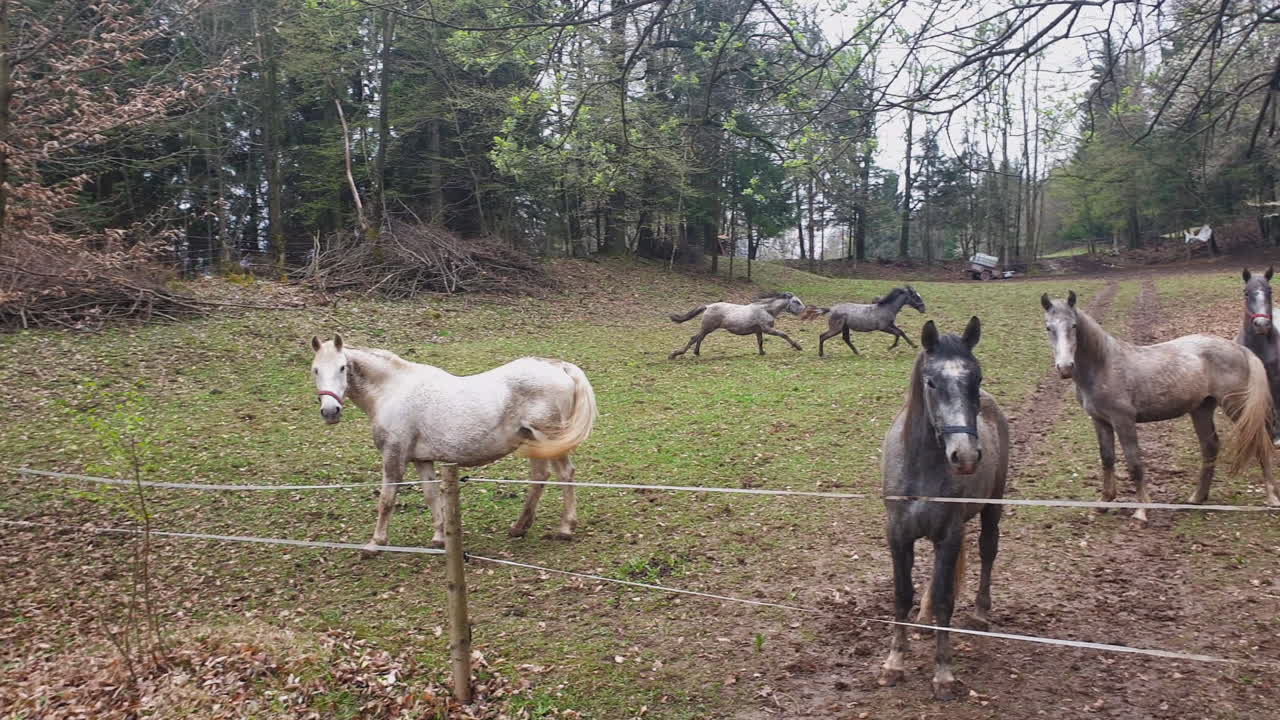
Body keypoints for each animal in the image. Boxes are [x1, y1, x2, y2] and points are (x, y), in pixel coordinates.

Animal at [309, 334, 598, 549]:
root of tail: (559, 367)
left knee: (565, 475)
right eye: (315, 370)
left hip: (550, 441)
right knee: (539, 478)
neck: (391, 391)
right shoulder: (422, 459)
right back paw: (519, 527)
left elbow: (387, 499)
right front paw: (439, 537)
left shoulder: (394, 456)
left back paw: (565, 529)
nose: (330, 412)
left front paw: (376, 543)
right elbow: (431, 496)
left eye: (342, 368)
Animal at [667, 291, 806, 359]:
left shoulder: (759, 330)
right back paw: (674, 355)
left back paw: (696, 353)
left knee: (699, 338)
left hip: (707, 329)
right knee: (694, 338)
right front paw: (798, 346)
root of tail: (708, 306)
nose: (804, 310)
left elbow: (760, 342)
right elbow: (784, 334)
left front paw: (762, 353)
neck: (766, 310)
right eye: (796, 301)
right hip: (707, 327)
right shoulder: (767, 329)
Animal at [879, 316, 1008, 701]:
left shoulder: (949, 535)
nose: (964, 456)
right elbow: (902, 595)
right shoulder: (899, 536)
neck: (921, 467)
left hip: (992, 507)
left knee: (987, 550)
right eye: (931, 381)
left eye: (977, 378)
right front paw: (894, 664)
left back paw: (980, 612)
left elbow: (945, 601)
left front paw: (943, 674)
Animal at [1041, 291, 1278, 519]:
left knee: (1259, 441)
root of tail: (1239, 348)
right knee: (1210, 447)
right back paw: (1197, 498)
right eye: (1048, 327)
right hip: (1201, 409)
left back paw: (1272, 499)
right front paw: (1103, 503)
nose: (1065, 367)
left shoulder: (1123, 420)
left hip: (1236, 405)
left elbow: (1134, 462)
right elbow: (1107, 459)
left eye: (1073, 326)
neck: (1104, 366)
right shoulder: (1100, 421)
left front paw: (1141, 511)